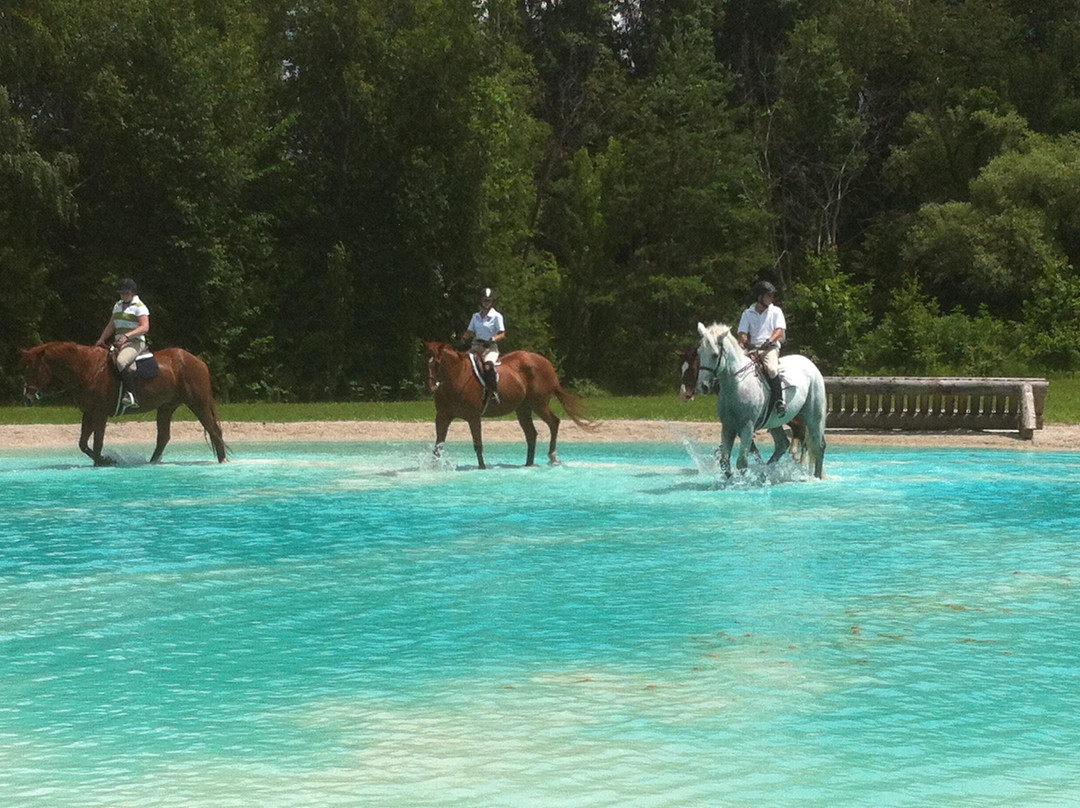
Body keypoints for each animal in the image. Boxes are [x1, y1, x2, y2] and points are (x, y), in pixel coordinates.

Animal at [21, 341, 229, 466]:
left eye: (34, 369)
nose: (27, 396)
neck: (87, 368)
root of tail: (197, 361)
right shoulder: (88, 412)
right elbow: (83, 444)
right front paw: (105, 460)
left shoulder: (100, 413)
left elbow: (97, 442)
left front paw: (102, 461)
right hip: (166, 406)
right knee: (163, 437)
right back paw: (151, 463)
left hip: (198, 403)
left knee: (214, 430)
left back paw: (222, 460)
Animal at [423, 341, 595, 469]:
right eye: (426, 363)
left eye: (437, 363)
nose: (431, 387)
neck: (457, 377)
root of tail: (547, 363)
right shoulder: (443, 417)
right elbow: (438, 446)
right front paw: (433, 466)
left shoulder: (473, 417)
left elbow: (478, 444)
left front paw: (482, 467)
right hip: (523, 409)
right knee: (531, 434)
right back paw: (528, 464)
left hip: (539, 404)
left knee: (554, 422)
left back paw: (552, 457)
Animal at [688, 322, 827, 478]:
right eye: (699, 353)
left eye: (715, 355)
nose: (703, 386)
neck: (737, 385)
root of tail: (810, 364)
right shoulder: (728, 426)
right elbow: (724, 460)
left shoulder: (747, 426)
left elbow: (742, 461)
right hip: (774, 422)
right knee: (782, 444)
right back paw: (767, 472)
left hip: (813, 417)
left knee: (819, 445)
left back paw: (817, 477)